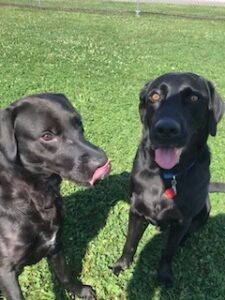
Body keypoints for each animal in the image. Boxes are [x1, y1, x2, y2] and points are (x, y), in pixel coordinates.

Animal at [0, 92, 110, 298]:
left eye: (79, 124)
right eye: (47, 136)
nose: (103, 162)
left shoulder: (55, 243)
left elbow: (64, 273)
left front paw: (79, 291)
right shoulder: (5, 269)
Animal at [113, 72, 224, 286]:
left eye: (194, 98)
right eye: (155, 96)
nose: (166, 129)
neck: (166, 175)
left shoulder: (182, 220)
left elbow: (168, 251)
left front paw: (164, 275)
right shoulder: (136, 211)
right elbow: (130, 243)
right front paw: (122, 265)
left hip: (203, 211)